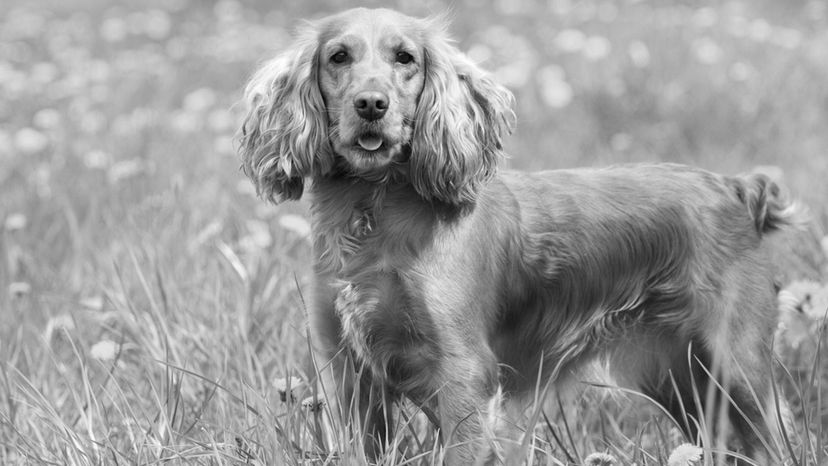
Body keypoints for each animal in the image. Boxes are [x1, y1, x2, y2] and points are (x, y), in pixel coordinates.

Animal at [236, 9, 800, 464]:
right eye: (338, 56)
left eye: (405, 57)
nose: (371, 104)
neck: (373, 210)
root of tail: (734, 187)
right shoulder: (350, 376)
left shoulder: (464, 376)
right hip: (682, 380)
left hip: (738, 367)